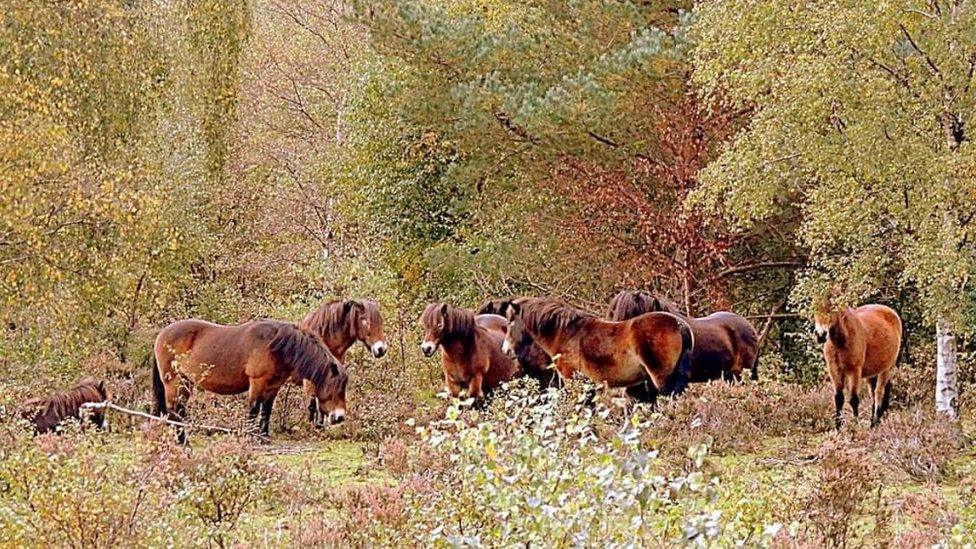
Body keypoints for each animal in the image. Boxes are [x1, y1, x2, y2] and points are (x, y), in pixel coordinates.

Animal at [152, 316, 346, 440]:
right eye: (334, 388)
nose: (340, 417)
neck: (276, 345)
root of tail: (161, 334)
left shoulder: (274, 385)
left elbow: (266, 410)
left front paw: (264, 437)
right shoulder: (257, 382)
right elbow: (254, 409)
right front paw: (251, 437)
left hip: (186, 382)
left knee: (179, 410)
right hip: (174, 381)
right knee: (174, 411)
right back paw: (183, 442)